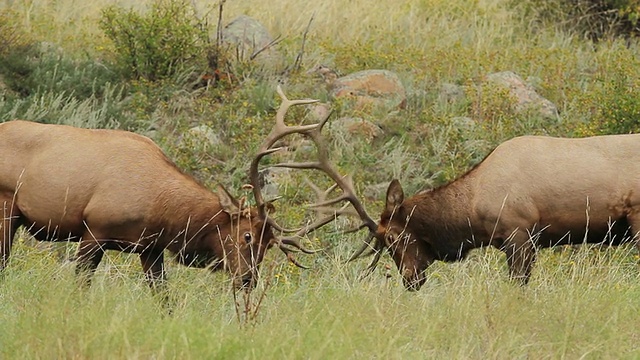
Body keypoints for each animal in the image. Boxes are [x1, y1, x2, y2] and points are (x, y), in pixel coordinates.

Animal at [0, 115, 318, 290]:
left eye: (269, 245)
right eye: (247, 235)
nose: (248, 280)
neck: (162, 211)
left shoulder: (150, 248)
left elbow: (164, 297)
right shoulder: (94, 231)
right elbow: (80, 285)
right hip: (6, 208)